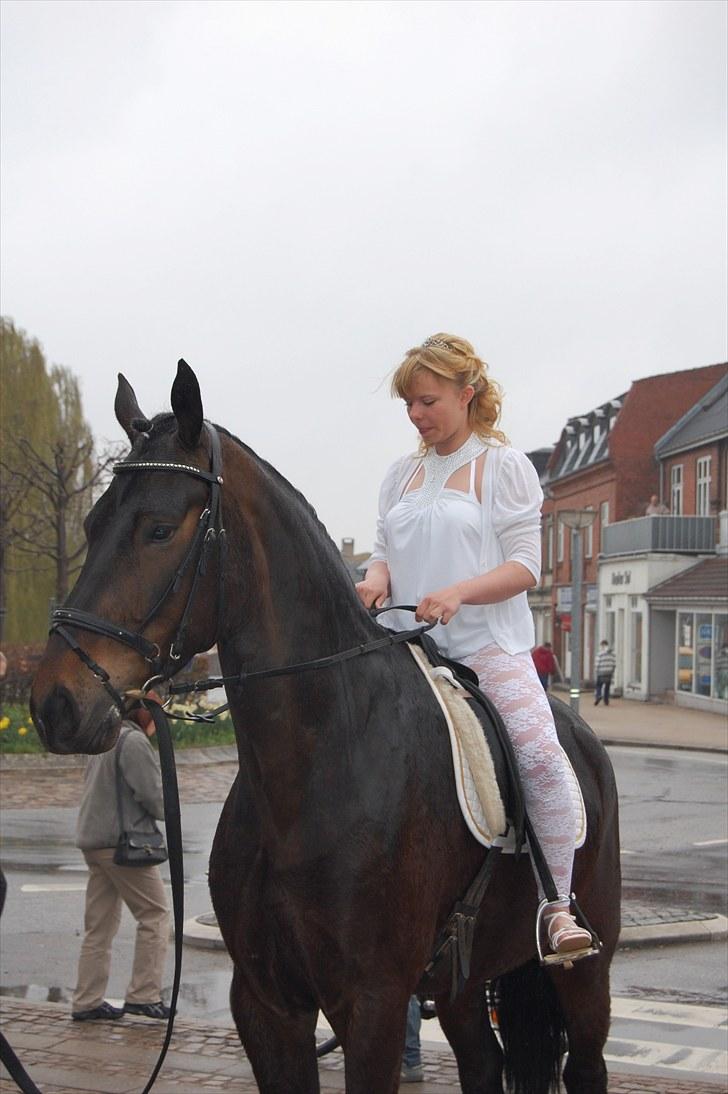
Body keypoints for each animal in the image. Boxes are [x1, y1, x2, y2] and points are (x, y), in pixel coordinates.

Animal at [29, 363, 617, 1089]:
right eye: (92, 521)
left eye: (159, 530)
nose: (55, 702)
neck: (316, 768)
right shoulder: (265, 1004)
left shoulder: (373, 1005)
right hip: (460, 984)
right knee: (483, 1062)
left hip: (586, 973)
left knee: (585, 1060)